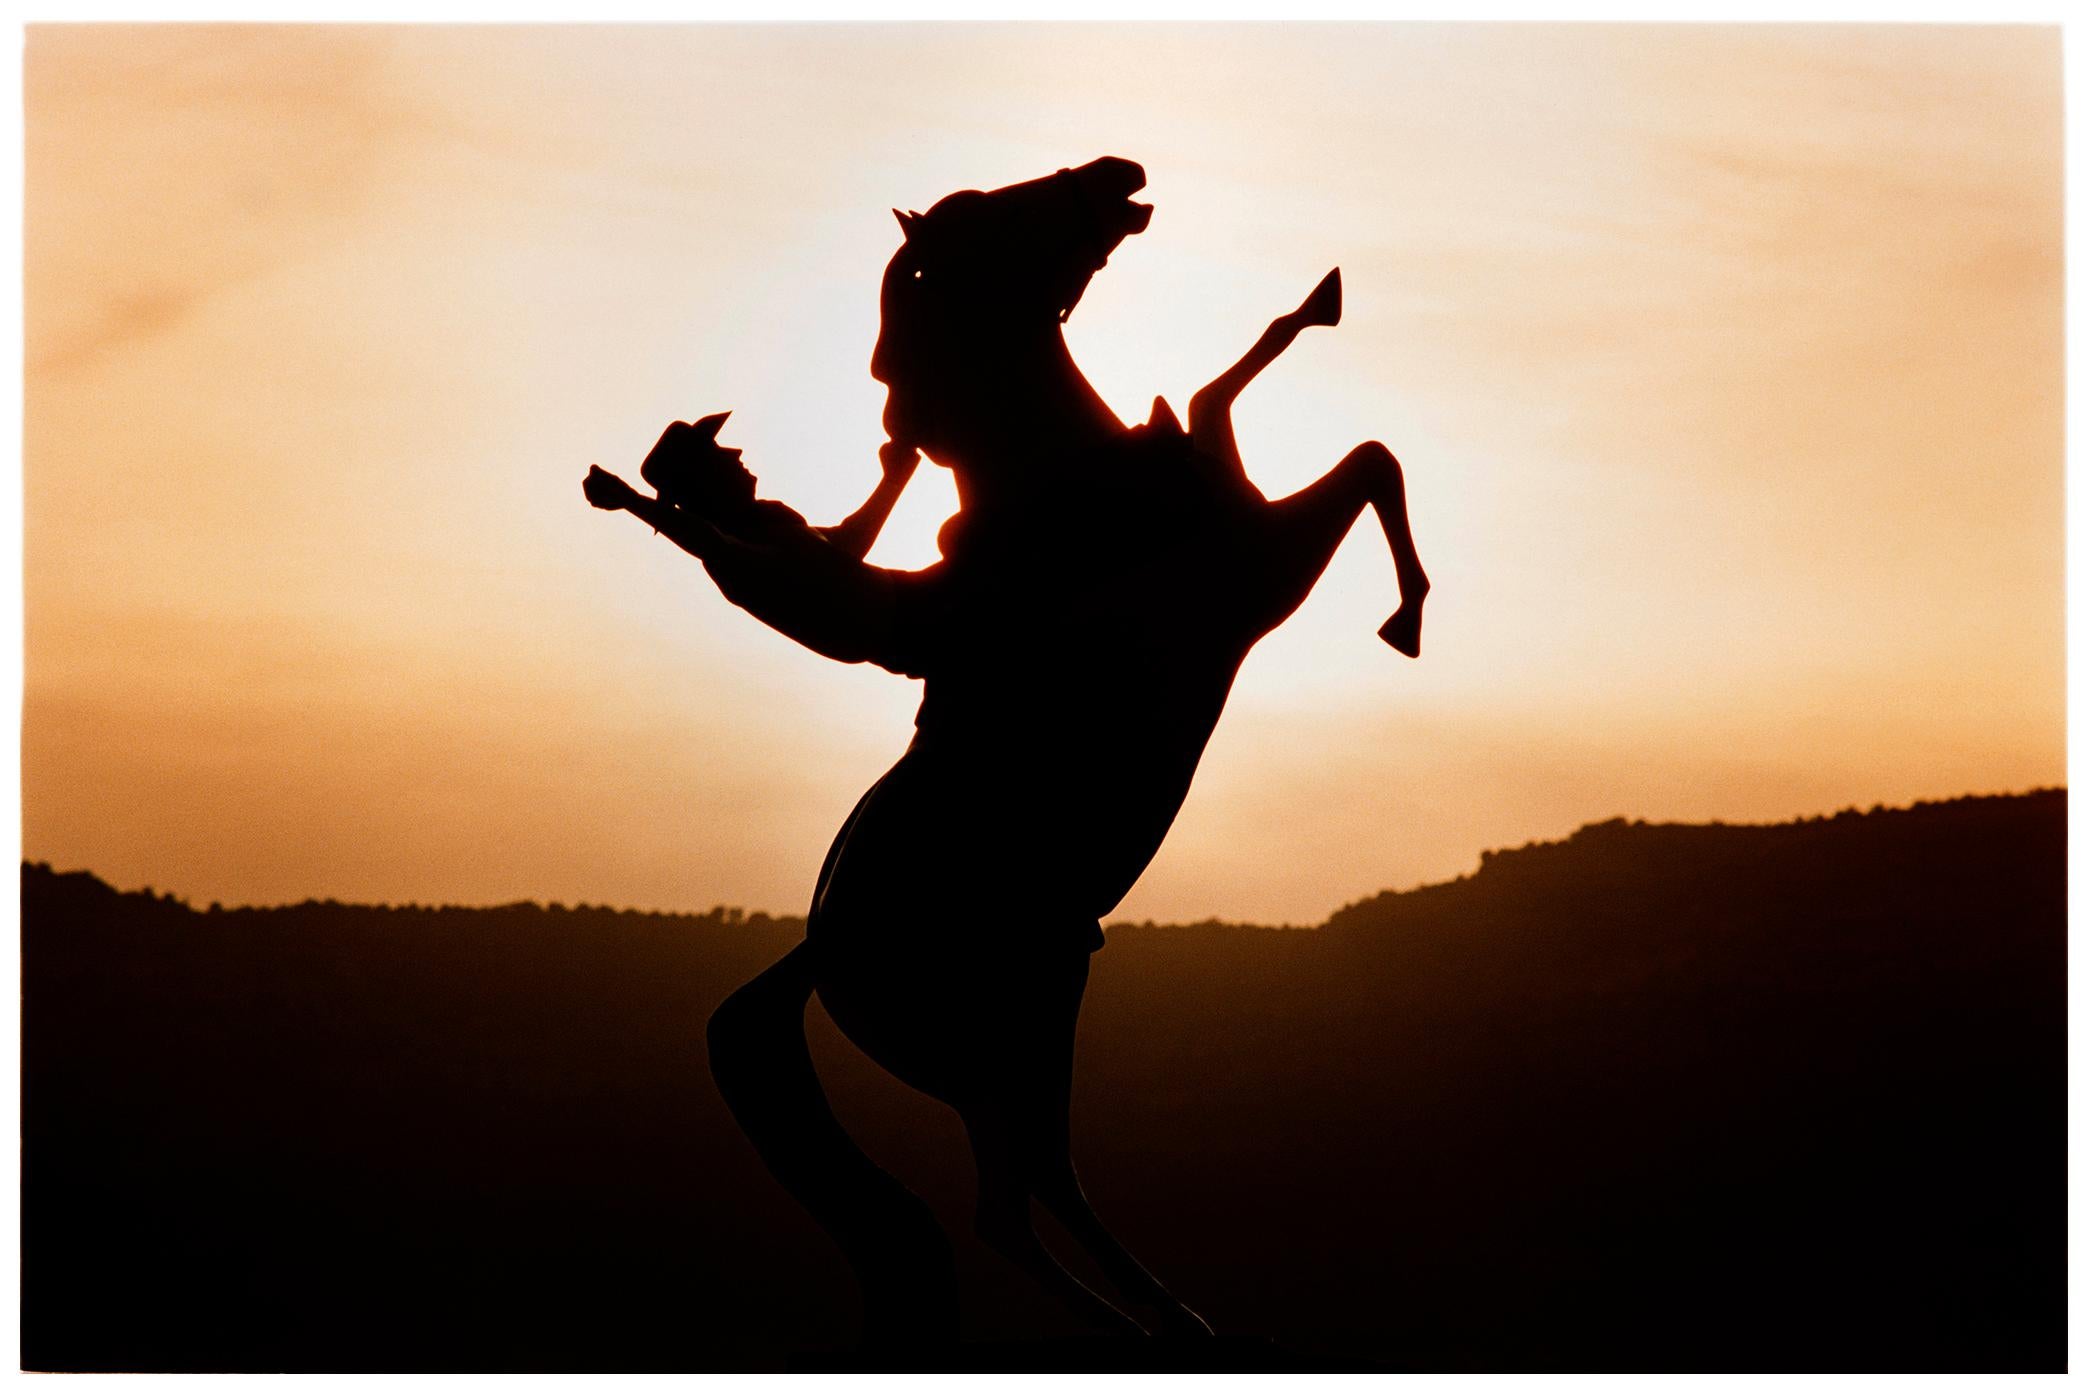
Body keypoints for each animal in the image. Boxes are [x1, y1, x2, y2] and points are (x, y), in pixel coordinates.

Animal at [592, 160, 1436, 1352]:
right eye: (995, 214)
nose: (1118, 174)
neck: (1068, 493)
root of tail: (818, 958)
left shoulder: (1246, 517)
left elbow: (1282, 419)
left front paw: (1317, 302)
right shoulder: (1261, 568)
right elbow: (1358, 460)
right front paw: (1406, 620)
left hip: (1025, 1027)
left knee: (1031, 1191)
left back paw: (1168, 1320)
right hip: (1003, 1041)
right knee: (1015, 1198)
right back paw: (1163, 1325)